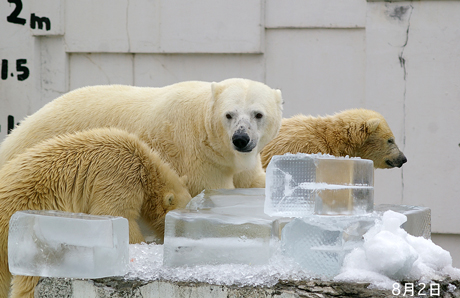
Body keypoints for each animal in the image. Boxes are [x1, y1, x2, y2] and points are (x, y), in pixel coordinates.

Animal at [0, 78, 284, 197]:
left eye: (258, 114)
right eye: (229, 114)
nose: (241, 139)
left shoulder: (241, 161)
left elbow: (254, 180)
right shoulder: (197, 157)